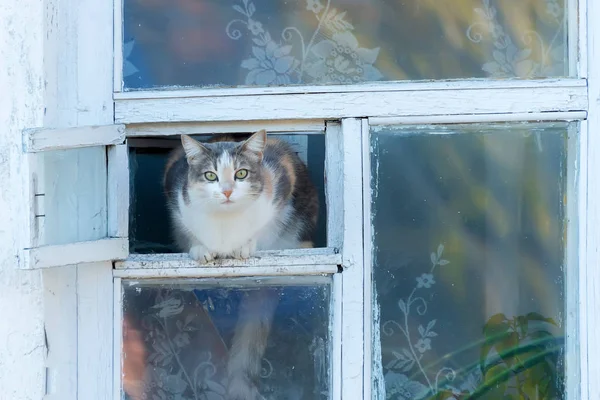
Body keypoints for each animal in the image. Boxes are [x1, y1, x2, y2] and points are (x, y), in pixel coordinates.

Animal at [162, 130, 322, 398]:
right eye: (210, 175)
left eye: (241, 173)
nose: (227, 191)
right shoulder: (175, 197)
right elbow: (189, 231)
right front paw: (200, 248)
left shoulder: (283, 181)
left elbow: (266, 227)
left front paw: (247, 245)